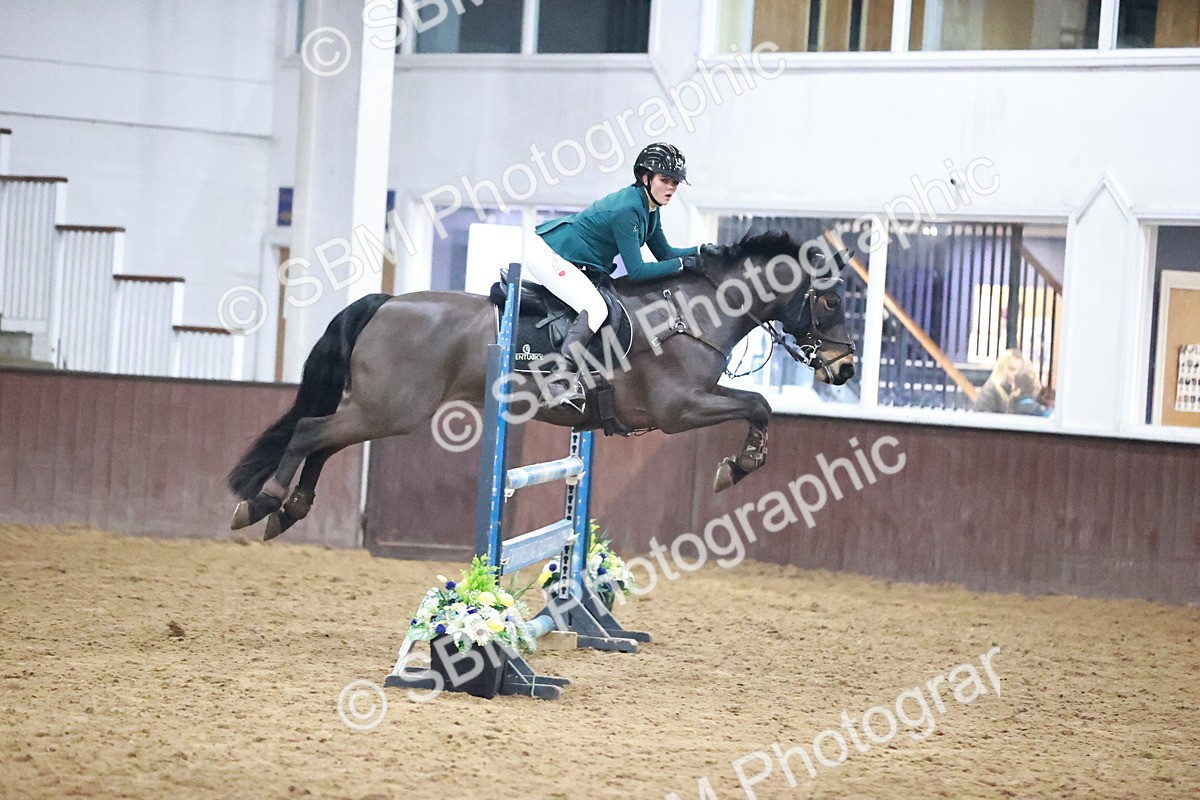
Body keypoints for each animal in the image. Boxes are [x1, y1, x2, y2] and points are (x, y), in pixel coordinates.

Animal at [227, 230, 857, 540]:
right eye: (828, 301)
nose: (847, 368)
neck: (692, 313)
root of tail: (385, 302)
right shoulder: (678, 409)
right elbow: (759, 403)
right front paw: (737, 469)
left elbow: (760, 405)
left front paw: (738, 466)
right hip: (393, 409)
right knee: (311, 432)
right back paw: (262, 503)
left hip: (382, 410)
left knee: (325, 439)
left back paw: (289, 510)